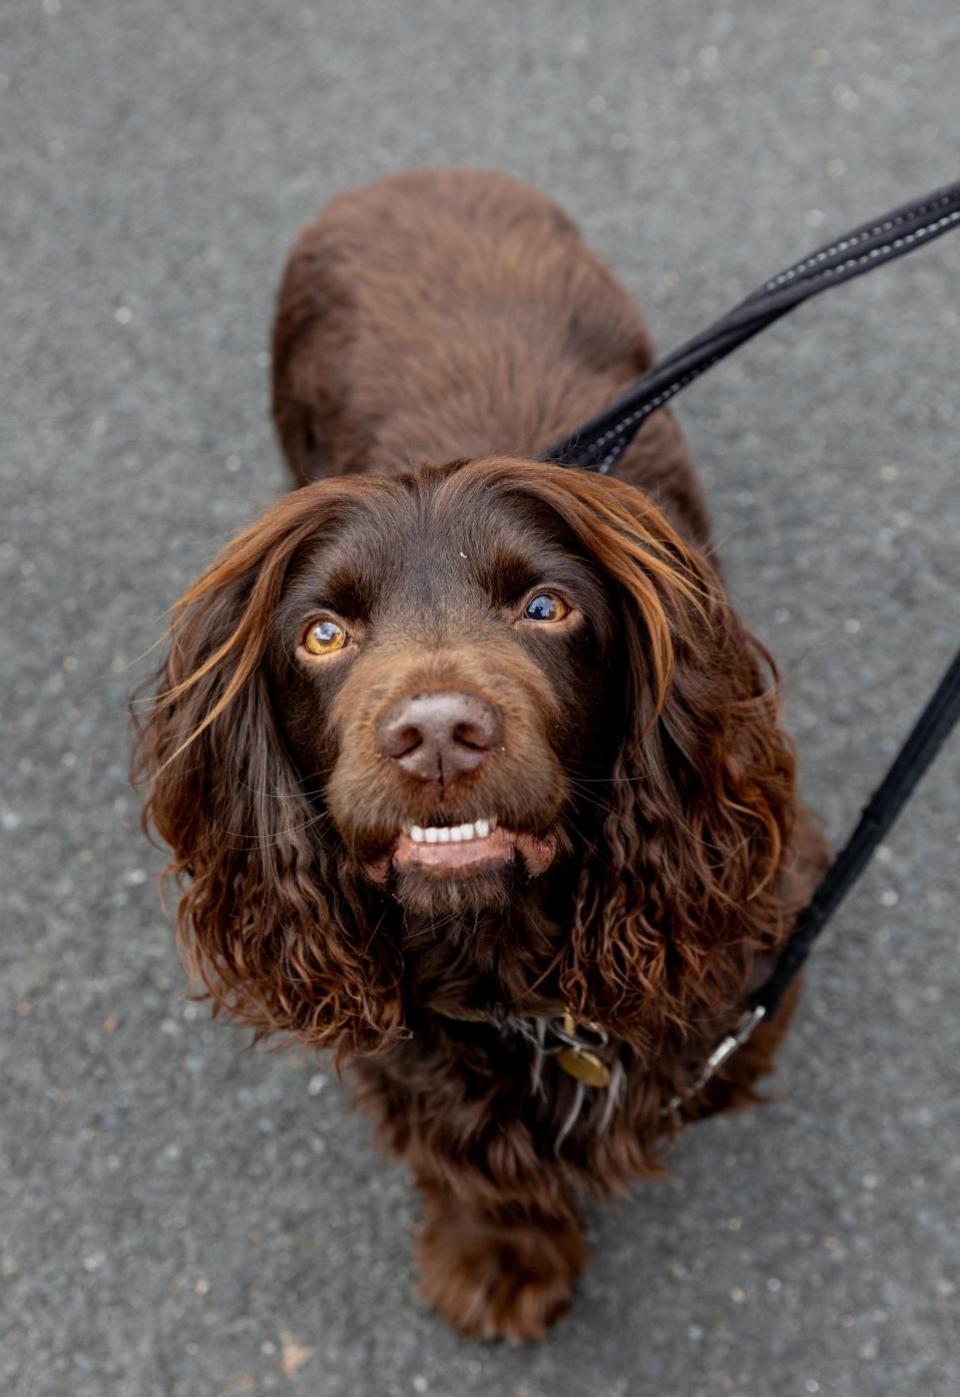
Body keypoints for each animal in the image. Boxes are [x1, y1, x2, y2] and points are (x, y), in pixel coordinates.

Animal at [133, 171, 827, 1341]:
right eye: (323, 633)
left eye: (547, 606)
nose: (436, 734)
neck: (514, 966)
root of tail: (411, 175)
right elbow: (465, 1153)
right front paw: (501, 1255)